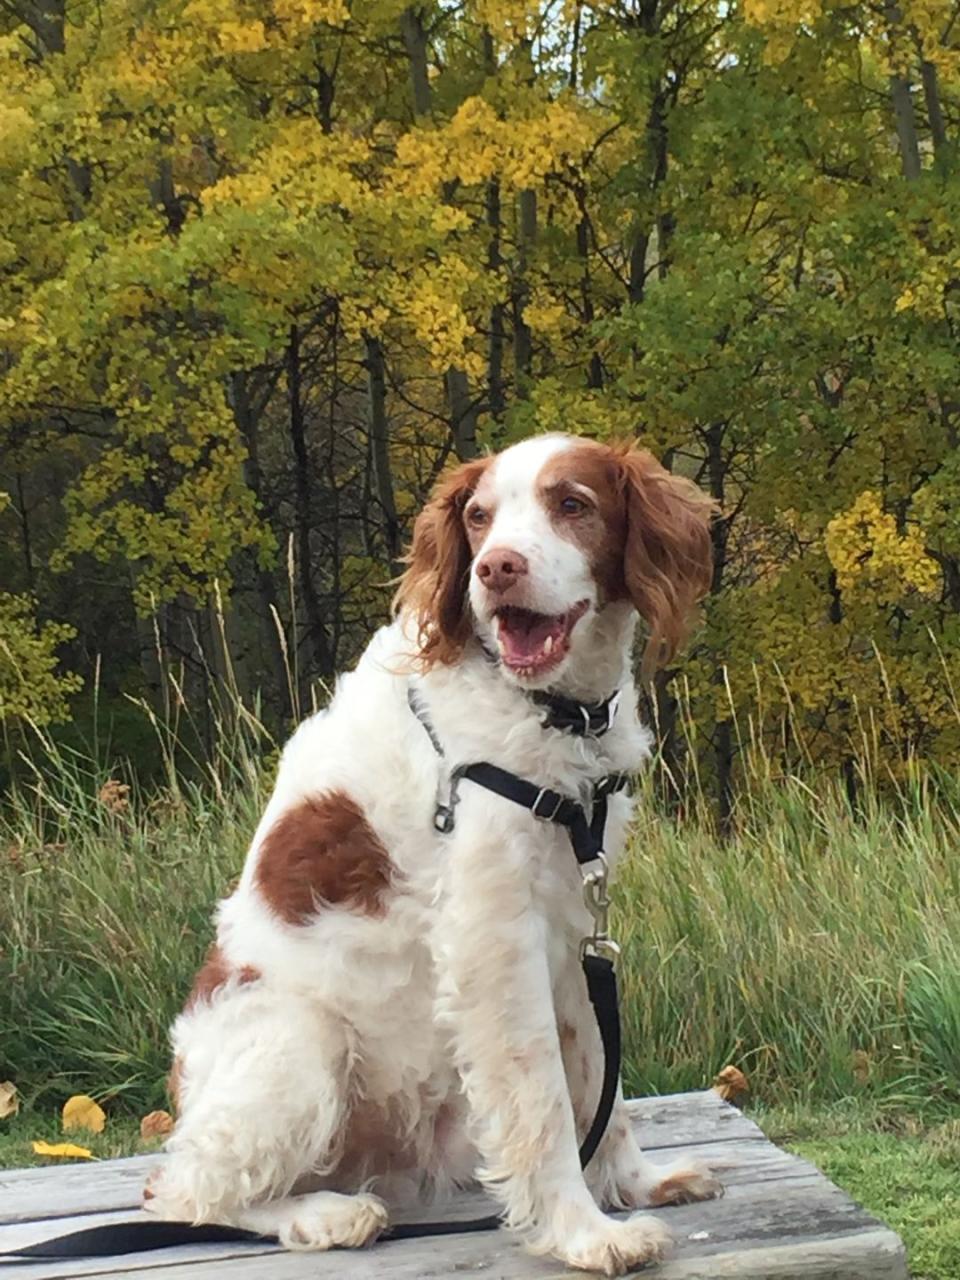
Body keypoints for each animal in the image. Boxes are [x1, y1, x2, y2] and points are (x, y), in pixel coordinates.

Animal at [146, 435, 721, 1274]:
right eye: (479, 518)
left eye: (572, 503)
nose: (496, 568)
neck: (550, 711)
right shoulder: (494, 937)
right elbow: (546, 1097)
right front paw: (584, 1233)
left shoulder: (574, 919)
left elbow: (599, 1077)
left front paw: (635, 1184)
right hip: (304, 1040)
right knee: (184, 1193)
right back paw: (326, 1214)